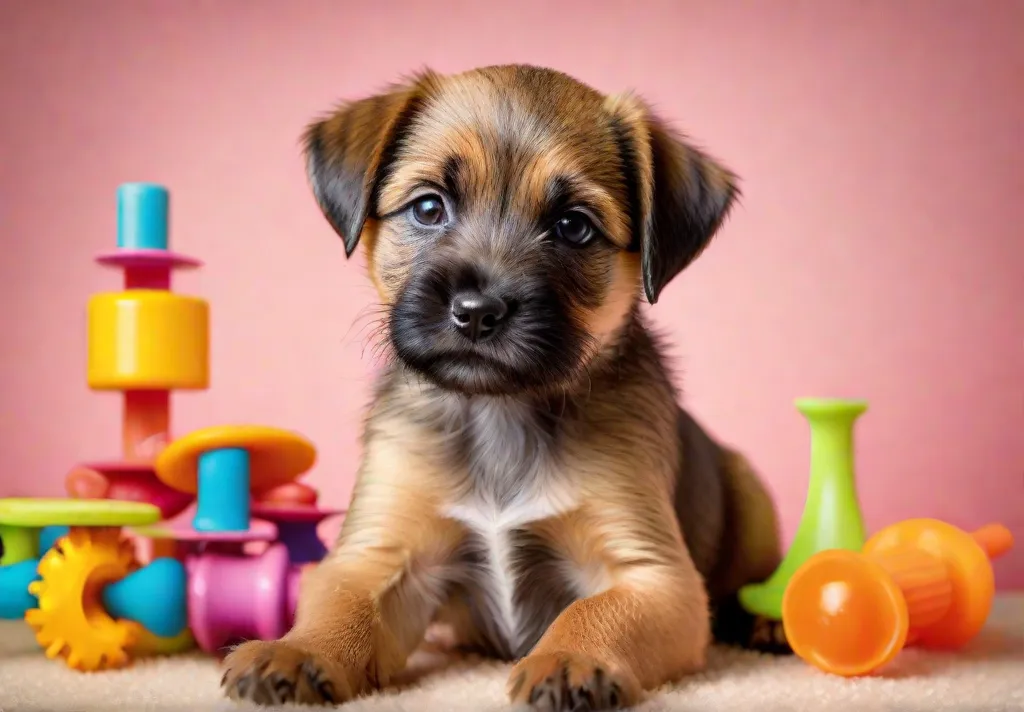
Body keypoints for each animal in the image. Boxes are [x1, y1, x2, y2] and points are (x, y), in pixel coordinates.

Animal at [222, 64, 782, 708]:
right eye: (428, 207)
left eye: (573, 226)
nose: (477, 312)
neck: (499, 414)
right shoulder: (379, 556)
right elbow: (341, 607)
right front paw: (295, 650)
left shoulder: (656, 577)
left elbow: (594, 612)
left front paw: (567, 659)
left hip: (750, 495)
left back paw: (767, 622)